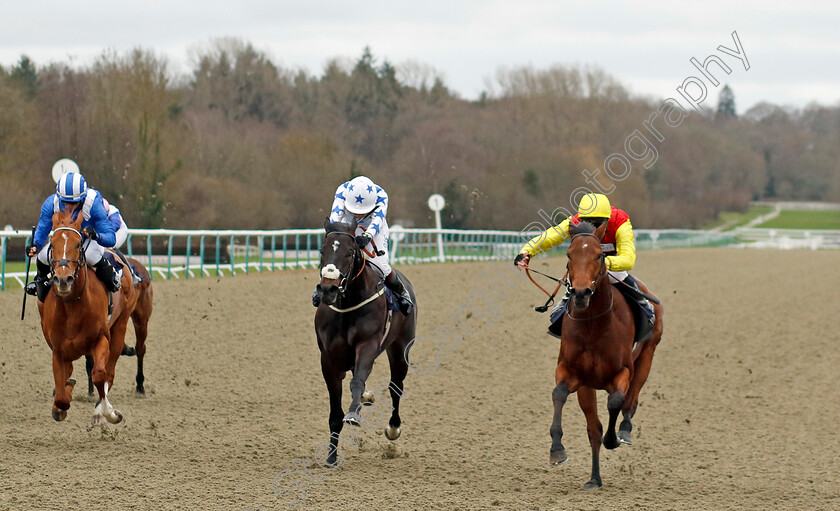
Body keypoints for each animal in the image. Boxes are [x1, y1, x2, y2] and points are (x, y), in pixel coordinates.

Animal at [37, 208, 147, 424]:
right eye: (52, 244)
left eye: (78, 244)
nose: (63, 279)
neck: (72, 305)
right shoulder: (57, 349)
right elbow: (61, 393)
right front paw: (61, 402)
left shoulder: (100, 338)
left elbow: (99, 374)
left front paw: (109, 413)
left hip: (125, 323)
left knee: (115, 367)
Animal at [316, 218, 416, 466]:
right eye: (322, 250)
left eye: (350, 252)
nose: (328, 289)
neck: (347, 305)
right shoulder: (328, 359)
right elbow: (335, 413)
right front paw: (331, 457)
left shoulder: (368, 345)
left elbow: (358, 382)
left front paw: (353, 414)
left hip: (400, 349)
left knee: (396, 387)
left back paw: (393, 428)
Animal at [548, 219, 668, 488]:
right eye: (569, 254)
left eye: (599, 256)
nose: (581, 293)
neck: (594, 326)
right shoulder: (572, 373)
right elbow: (559, 394)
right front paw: (557, 450)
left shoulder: (621, 372)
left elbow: (615, 401)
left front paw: (612, 439)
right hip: (588, 385)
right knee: (593, 428)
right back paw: (595, 478)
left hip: (648, 353)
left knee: (631, 400)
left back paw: (624, 430)